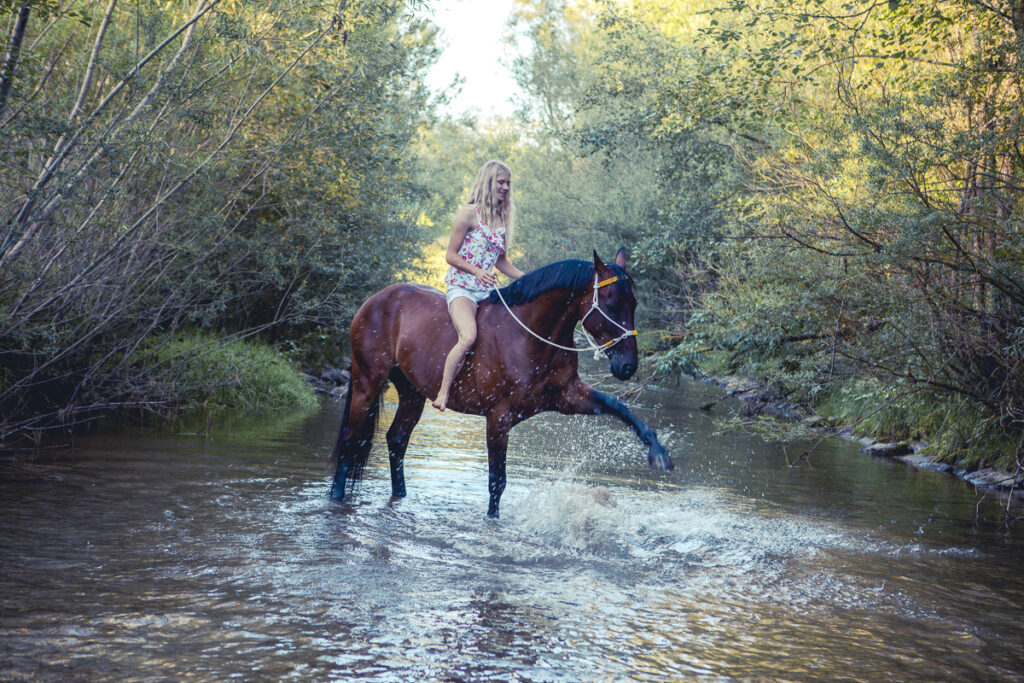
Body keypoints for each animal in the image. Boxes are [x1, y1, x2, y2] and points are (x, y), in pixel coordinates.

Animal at [330, 248, 673, 517]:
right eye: (612, 304)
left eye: (635, 304)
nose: (628, 366)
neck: (529, 337)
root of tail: (375, 300)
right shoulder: (499, 417)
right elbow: (497, 482)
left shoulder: (569, 397)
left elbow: (619, 407)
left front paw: (658, 453)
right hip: (367, 383)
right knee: (349, 439)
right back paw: (336, 496)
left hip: (412, 394)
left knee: (397, 440)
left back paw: (399, 496)